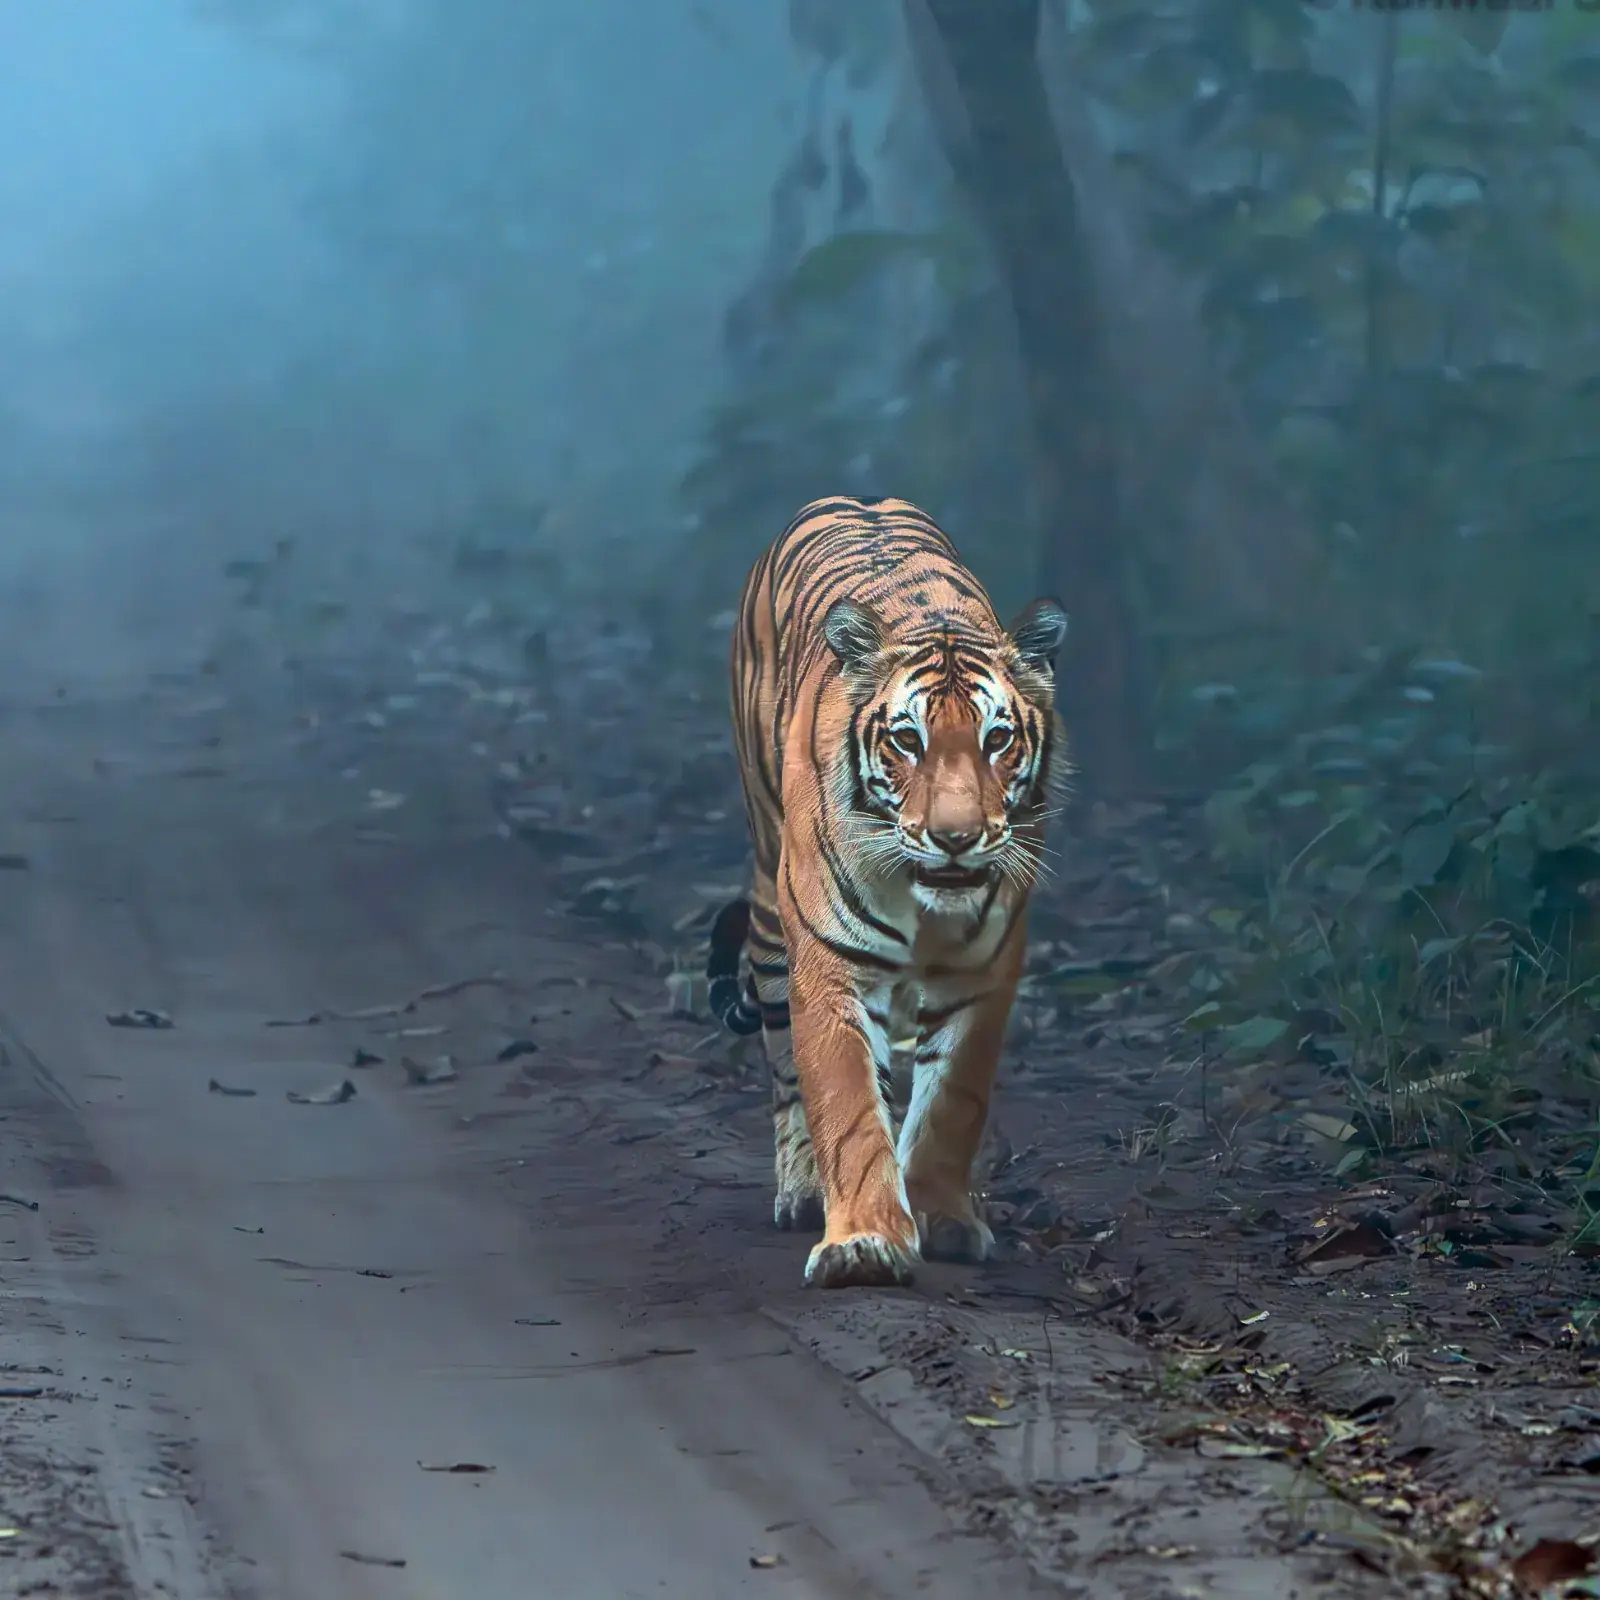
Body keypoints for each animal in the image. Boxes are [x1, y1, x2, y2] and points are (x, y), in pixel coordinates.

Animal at [706, 496, 1069, 1289]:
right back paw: (802, 1191)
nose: (956, 837)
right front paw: (865, 1243)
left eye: (999, 740)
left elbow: (949, 1104)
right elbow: (846, 1106)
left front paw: (942, 1219)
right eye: (907, 740)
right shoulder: (831, 969)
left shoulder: (982, 975)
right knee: (785, 1069)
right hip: (772, 908)